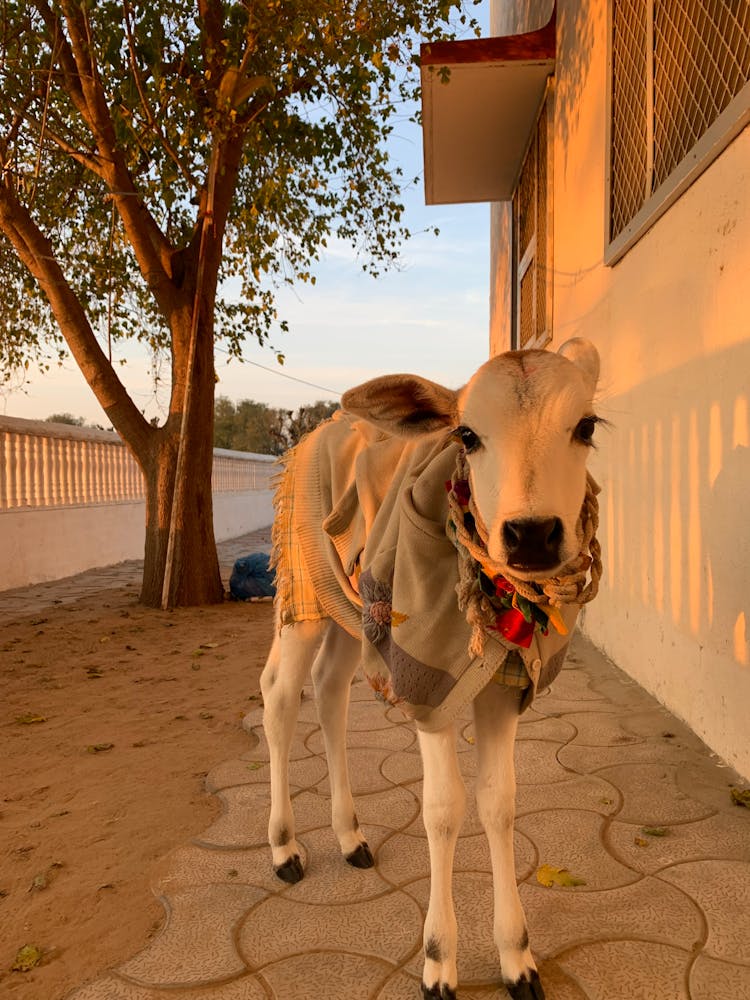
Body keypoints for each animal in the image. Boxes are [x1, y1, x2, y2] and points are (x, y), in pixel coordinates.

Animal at [262, 338, 604, 1000]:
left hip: (353, 608)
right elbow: (444, 811)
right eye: (467, 435)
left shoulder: (505, 685)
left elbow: (499, 802)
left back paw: (350, 836)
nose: (531, 535)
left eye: (587, 426)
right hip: (304, 586)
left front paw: (517, 958)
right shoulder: (426, 686)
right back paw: (285, 848)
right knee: (280, 696)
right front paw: (439, 961)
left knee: (330, 688)